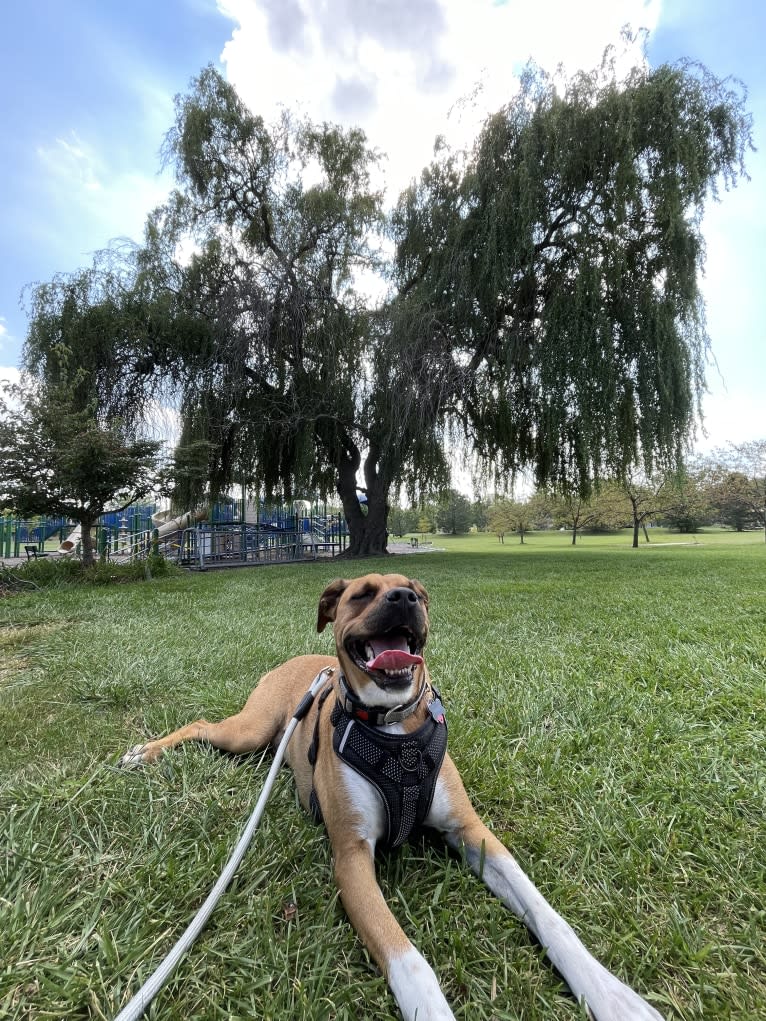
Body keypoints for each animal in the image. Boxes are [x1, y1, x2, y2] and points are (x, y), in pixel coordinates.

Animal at [121, 575, 665, 1021]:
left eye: (417, 593)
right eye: (362, 594)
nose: (404, 598)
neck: (391, 729)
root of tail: (305, 662)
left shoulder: (473, 832)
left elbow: (546, 914)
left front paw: (609, 993)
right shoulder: (352, 857)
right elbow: (408, 959)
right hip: (248, 731)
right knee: (200, 725)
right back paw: (142, 753)